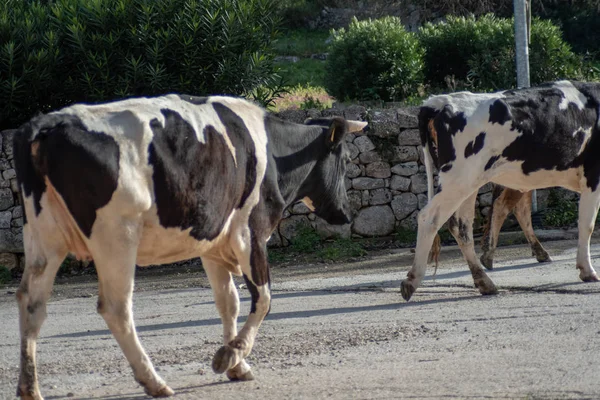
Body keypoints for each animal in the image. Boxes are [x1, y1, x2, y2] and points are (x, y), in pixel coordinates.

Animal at [14, 95, 368, 398]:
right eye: (346, 158)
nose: (347, 213)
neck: (273, 154)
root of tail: (46, 124)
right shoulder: (250, 231)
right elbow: (264, 298)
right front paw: (229, 356)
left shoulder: (213, 243)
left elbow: (228, 302)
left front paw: (238, 365)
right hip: (116, 235)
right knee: (115, 307)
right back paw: (154, 381)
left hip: (43, 237)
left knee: (32, 303)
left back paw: (30, 388)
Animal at [400, 80, 600, 300]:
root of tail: (440, 101)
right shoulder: (593, 176)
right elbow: (587, 224)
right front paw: (587, 270)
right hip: (458, 179)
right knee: (429, 218)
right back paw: (412, 281)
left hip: (469, 182)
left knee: (461, 226)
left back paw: (484, 282)